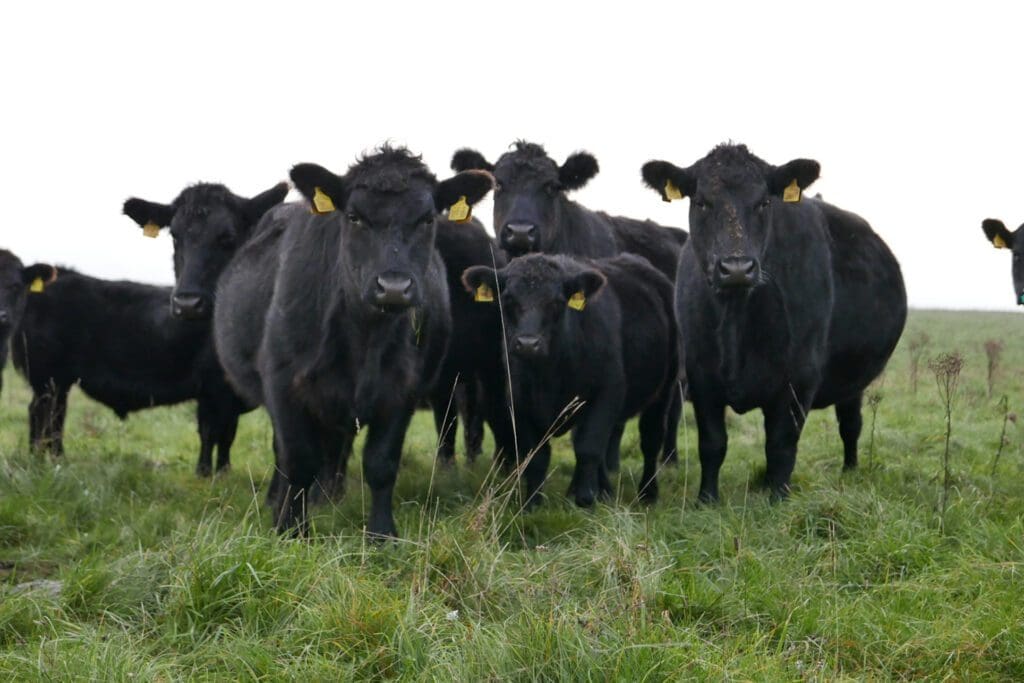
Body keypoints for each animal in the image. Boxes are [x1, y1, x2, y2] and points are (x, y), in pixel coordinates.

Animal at [12, 182, 287, 475]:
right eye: (175, 236)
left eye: (228, 237)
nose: (187, 304)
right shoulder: (214, 389)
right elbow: (211, 433)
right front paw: (205, 473)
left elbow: (225, 436)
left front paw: (223, 471)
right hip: (46, 376)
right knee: (42, 414)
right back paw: (41, 460)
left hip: (58, 380)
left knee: (54, 416)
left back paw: (56, 460)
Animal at [214, 146, 494, 538]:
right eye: (354, 216)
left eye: (427, 219)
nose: (393, 287)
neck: (365, 339)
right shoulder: (283, 384)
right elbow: (298, 459)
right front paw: (291, 529)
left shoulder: (403, 390)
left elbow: (381, 463)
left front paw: (382, 533)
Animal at [462, 253, 679, 509]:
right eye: (508, 300)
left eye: (556, 302)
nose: (528, 344)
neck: (548, 375)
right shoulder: (519, 401)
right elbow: (536, 455)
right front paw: (532, 503)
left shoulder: (606, 393)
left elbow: (588, 448)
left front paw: (585, 500)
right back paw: (601, 490)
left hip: (664, 391)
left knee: (650, 441)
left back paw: (647, 494)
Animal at [641, 143, 906, 502]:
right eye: (702, 202)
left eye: (764, 202)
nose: (737, 268)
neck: (737, 321)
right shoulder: (701, 375)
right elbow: (712, 443)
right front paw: (706, 499)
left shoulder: (798, 379)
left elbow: (781, 444)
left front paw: (778, 499)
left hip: (854, 382)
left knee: (850, 424)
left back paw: (849, 471)